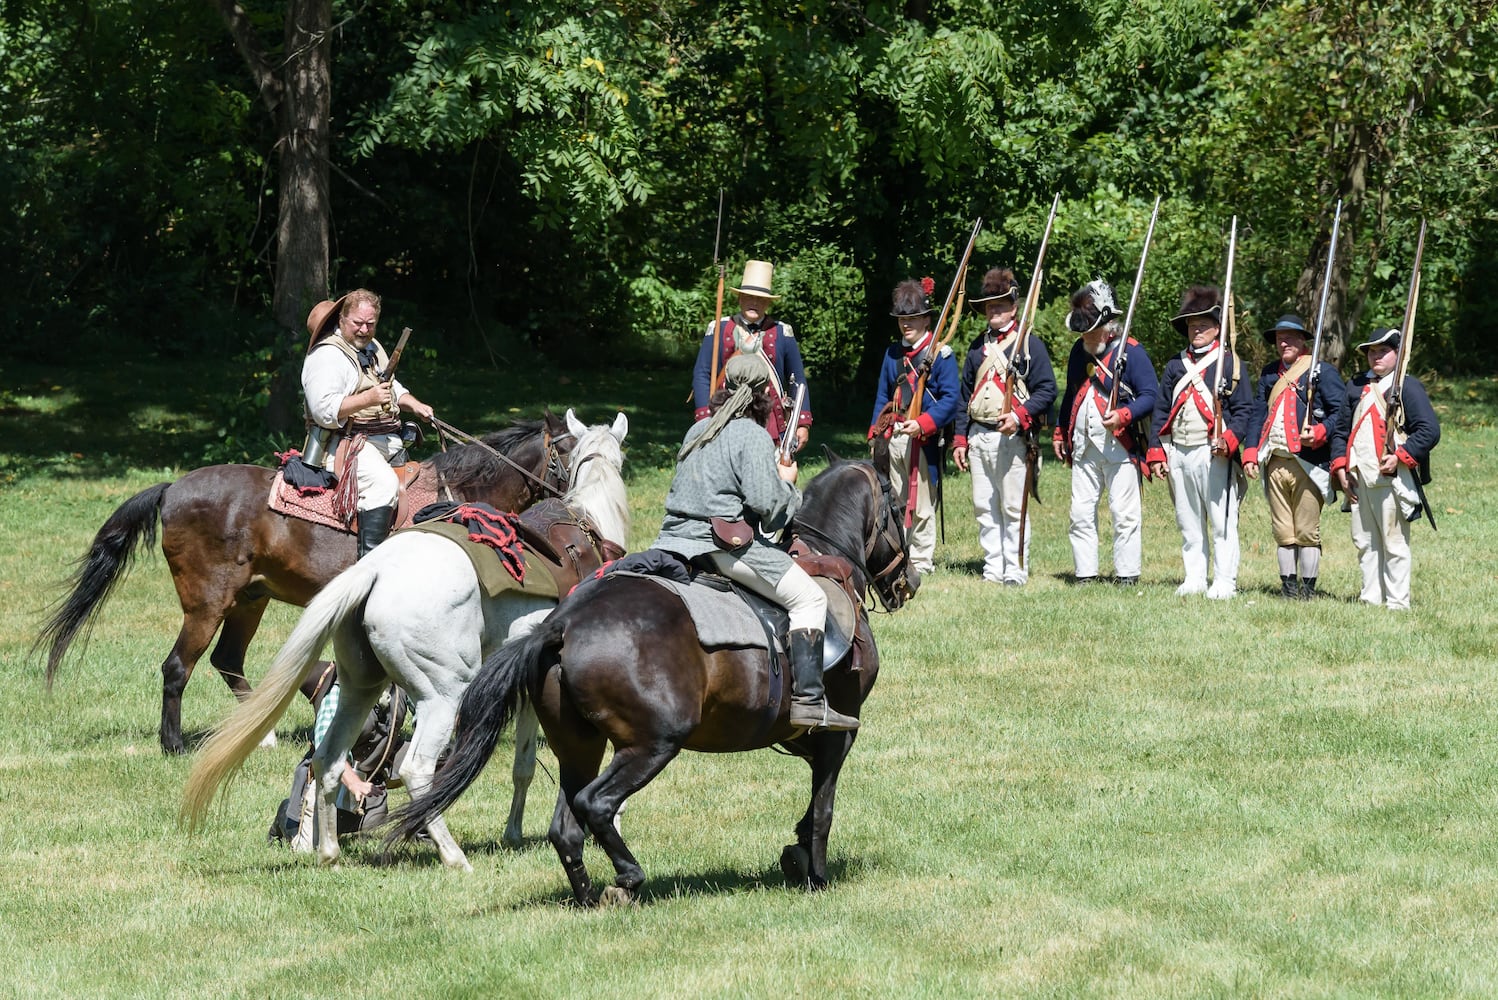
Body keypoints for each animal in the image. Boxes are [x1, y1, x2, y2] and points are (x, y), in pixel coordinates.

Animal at [36, 413, 572, 748]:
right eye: (570, 454)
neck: (460, 498)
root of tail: (172, 489)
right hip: (208, 604)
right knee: (177, 667)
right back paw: (174, 743)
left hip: (250, 600)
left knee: (227, 660)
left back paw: (264, 731)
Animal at [184, 410, 629, 868]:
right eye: (561, 450)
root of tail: (373, 571)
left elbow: (523, 764)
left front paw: (514, 833)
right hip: (441, 694)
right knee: (416, 770)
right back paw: (452, 855)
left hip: (354, 684)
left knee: (327, 757)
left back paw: (329, 851)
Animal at [389, 446, 910, 904]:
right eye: (898, 507)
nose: (909, 581)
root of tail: (564, 624)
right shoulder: (837, 734)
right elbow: (822, 809)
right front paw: (815, 874)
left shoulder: (800, 737)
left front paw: (796, 855)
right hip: (651, 745)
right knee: (596, 805)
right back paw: (627, 878)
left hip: (580, 748)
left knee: (566, 826)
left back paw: (587, 895)